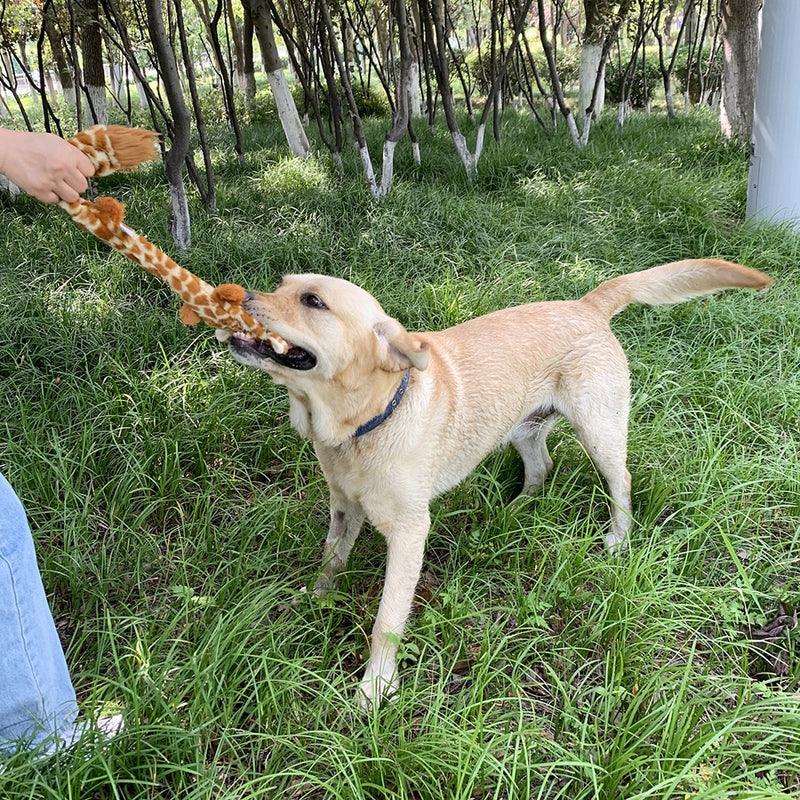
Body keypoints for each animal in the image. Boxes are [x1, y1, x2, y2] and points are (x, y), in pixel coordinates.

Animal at [223, 260, 768, 704]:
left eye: (313, 301)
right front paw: (315, 601)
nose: (235, 295)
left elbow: (386, 622)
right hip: (524, 429)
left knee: (622, 482)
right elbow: (330, 562)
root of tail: (588, 304)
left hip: (600, 432)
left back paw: (617, 536)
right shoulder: (344, 507)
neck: (365, 421)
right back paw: (514, 511)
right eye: (281, 286)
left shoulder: (409, 533)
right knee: (541, 468)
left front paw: (376, 688)